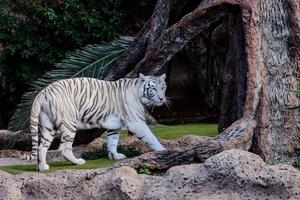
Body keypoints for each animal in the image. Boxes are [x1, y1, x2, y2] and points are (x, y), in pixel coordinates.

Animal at [26, 73, 168, 170]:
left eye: (163, 87)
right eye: (153, 89)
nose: (162, 98)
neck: (138, 91)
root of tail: (44, 92)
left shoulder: (114, 126)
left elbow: (112, 142)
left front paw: (115, 156)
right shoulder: (136, 122)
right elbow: (150, 136)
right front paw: (162, 150)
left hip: (48, 126)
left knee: (41, 147)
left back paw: (42, 167)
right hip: (69, 123)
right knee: (63, 149)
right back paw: (78, 161)